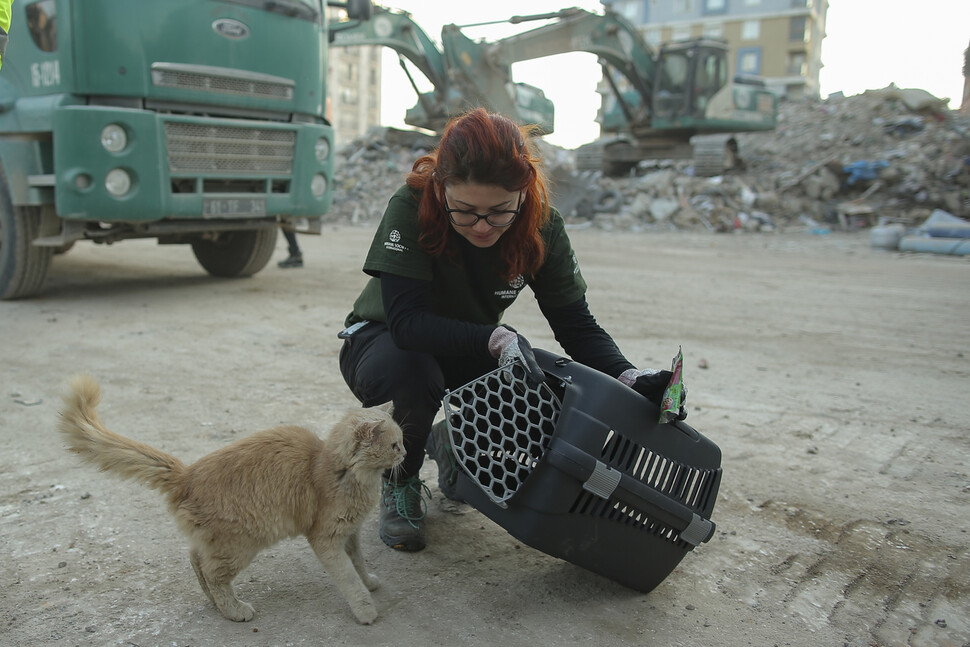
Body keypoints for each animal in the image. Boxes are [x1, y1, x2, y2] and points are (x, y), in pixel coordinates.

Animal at [56, 378, 404, 624]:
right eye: (395, 445)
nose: (406, 454)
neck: (337, 470)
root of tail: (187, 474)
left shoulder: (350, 534)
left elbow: (359, 563)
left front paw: (370, 582)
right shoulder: (326, 538)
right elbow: (348, 577)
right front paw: (366, 610)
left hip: (220, 542)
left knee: (196, 559)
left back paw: (214, 601)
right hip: (241, 544)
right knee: (212, 572)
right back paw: (234, 610)